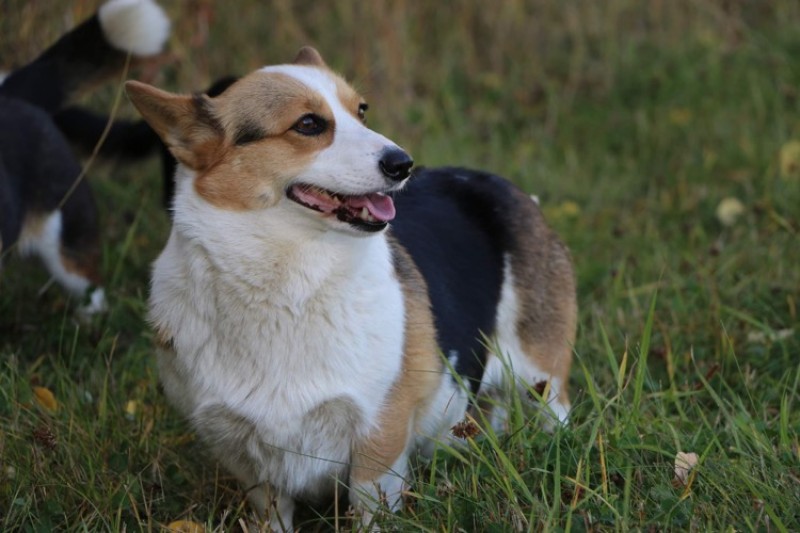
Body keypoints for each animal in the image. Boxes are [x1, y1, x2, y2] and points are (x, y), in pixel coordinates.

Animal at [126, 46, 576, 528]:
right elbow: (272, 512)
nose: (403, 163)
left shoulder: (378, 435)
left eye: (361, 110)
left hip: (539, 378)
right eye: (308, 124)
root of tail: (500, 184)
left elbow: (371, 508)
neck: (289, 279)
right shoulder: (248, 460)